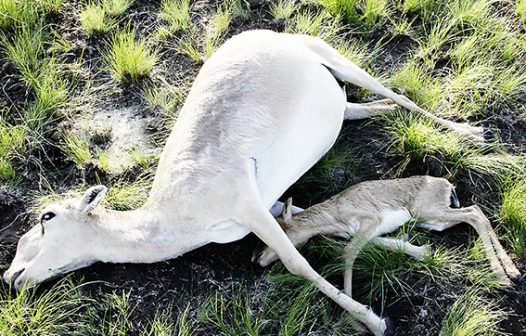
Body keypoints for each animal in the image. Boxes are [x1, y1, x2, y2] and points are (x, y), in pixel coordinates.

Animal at [3, 30, 490, 334]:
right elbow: (324, 225)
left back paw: (471, 132)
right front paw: (418, 250)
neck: (175, 216)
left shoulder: (249, 204)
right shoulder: (272, 206)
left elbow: (297, 262)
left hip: (334, 56)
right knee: (362, 107)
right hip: (337, 94)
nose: (11, 276)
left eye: (47, 217)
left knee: (397, 93)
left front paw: (374, 321)